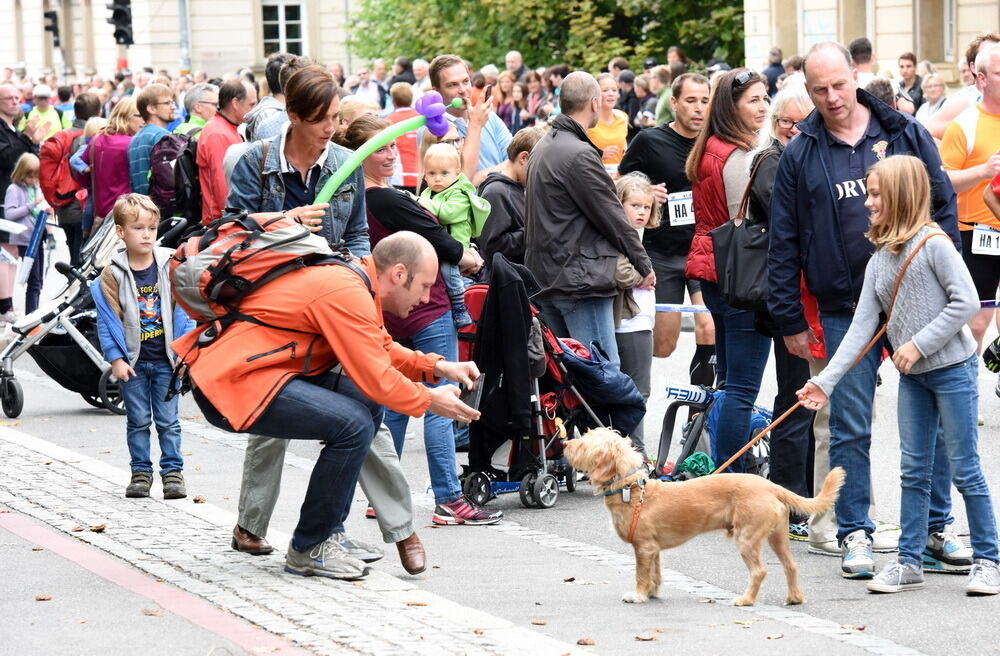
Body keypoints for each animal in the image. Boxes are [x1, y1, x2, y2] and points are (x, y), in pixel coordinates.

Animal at [564, 428, 844, 608]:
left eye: (585, 442)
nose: (566, 444)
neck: (631, 489)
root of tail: (771, 485)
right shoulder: (653, 549)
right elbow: (655, 573)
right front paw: (653, 592)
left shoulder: (643, 548)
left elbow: (641, 574)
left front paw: (639, 595)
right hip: (777, 538)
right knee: (791, 566)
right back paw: (795, 597)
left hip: (747, 539)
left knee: (759, 571)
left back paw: (746, 600)